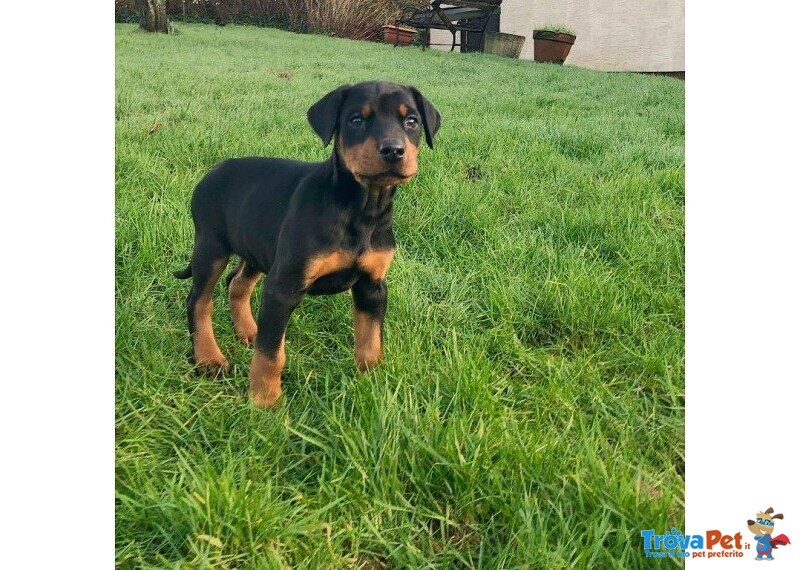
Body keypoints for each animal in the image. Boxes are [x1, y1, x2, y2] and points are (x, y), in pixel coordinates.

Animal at [173, 81, 444, 408]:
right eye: (356, 120)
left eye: (411, 122)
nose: (393, 150)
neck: (361, 210)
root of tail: (211, 173)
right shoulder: (284, 286)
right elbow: (271, 352)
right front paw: (265, 401)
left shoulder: (373, 285)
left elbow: (370, 341)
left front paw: (373, 388)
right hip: (211, 246)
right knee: (199, 301)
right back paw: (209, 359)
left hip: (257, 248)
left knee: (237, 283)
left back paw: (248, 330)